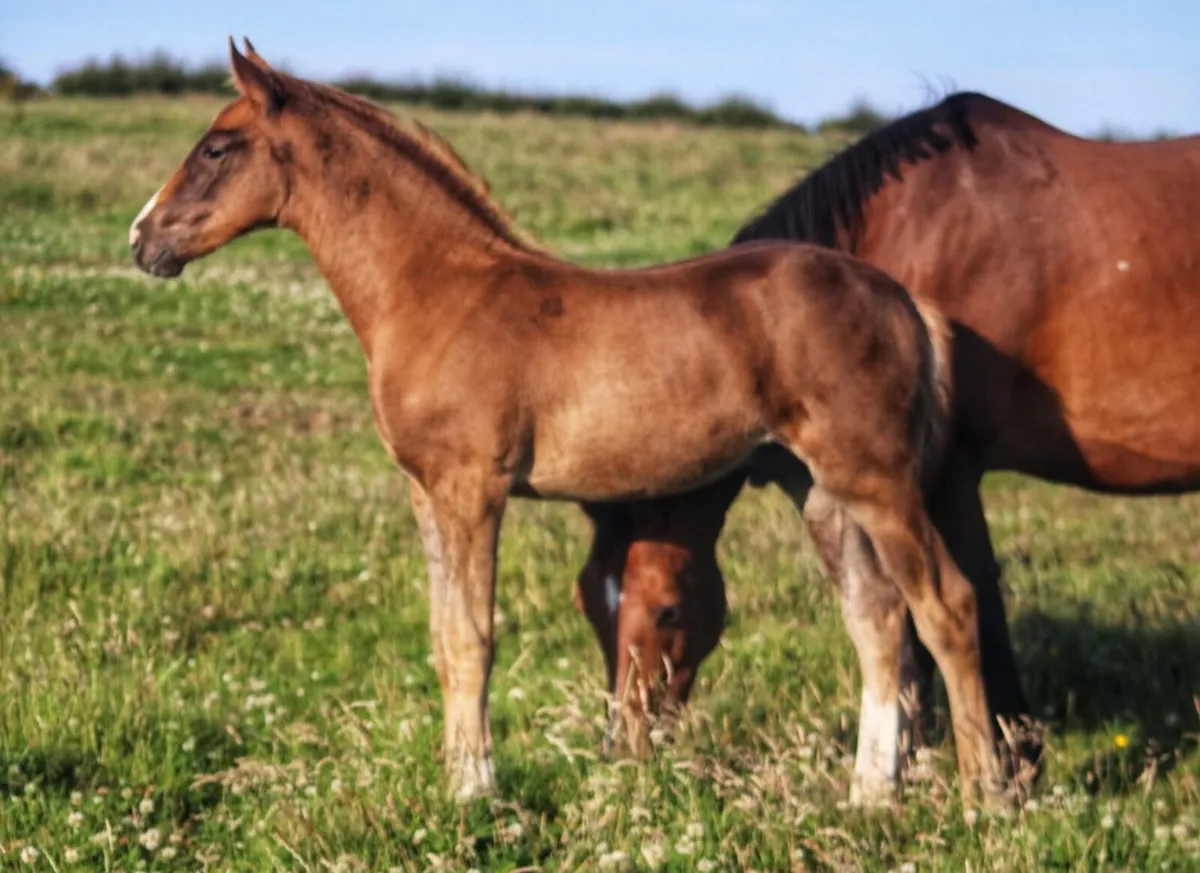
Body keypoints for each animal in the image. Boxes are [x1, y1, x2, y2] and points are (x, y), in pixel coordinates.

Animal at [129, 40, 1004, 806]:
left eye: (216, 147)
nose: (142, 239)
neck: (436, 290)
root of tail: (904, 302)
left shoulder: (472, 489)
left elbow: (474, 639)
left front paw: (476, 793)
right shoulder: (426, 493)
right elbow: (444, 639)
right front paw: (456, 782)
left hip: (878, 480)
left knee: (947, 606)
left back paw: (984, 797)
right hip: (819, 488)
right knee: (878, 619)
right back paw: (869, 797)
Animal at [578, 89, 1200, 790]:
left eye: (667, 611)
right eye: (589, 606)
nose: (623, 751)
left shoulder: (946, 477)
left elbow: (966, 613)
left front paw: (1008, 764)